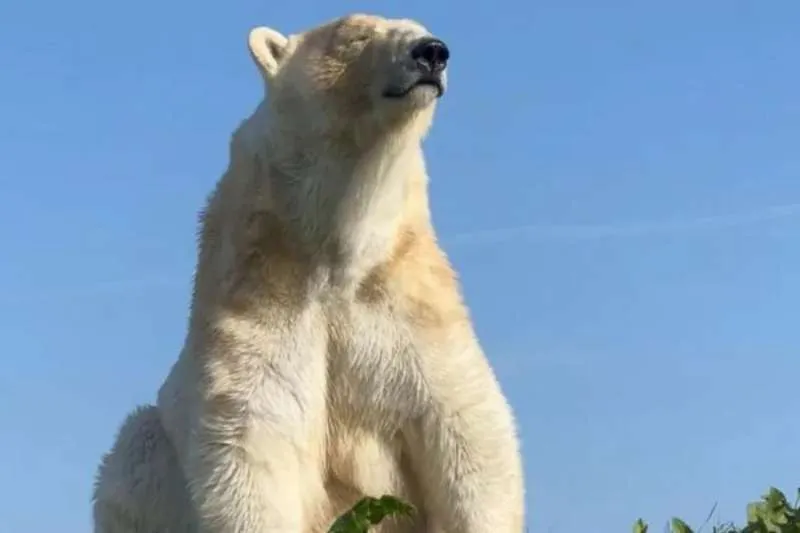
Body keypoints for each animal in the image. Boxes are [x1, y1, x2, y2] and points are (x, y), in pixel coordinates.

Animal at [92, 13, 525, 533]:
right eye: (356, 36)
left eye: (420, 26)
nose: (432, 52)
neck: (338, 250)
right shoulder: (262, 292)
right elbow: (254, 432)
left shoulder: (409, 301)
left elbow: (465, 424)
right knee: (135, 448)